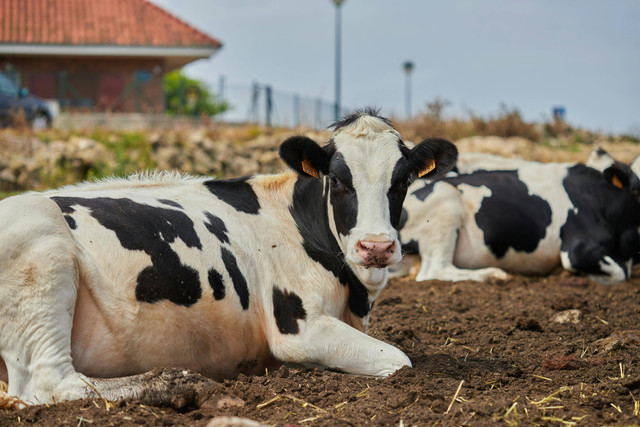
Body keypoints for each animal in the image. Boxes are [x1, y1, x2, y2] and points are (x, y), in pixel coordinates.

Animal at [396, 149, 640, 286]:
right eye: (637, 189)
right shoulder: (576, 251)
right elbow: (622, 273)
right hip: (446, 202)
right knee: (435, 270)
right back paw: (493, 275)